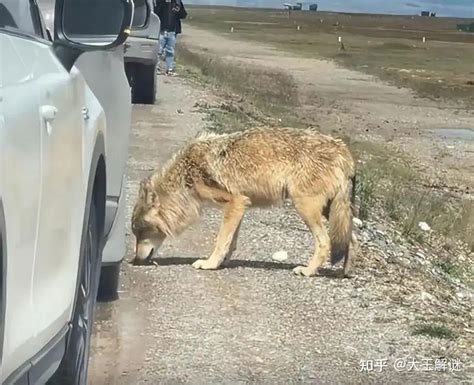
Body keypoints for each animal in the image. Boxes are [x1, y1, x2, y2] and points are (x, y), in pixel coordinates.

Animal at [131, 127, 358, 278]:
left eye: (141, 232)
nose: (134, 261)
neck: (185, 177)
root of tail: (344, 150)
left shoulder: (235, 202)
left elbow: (221, 240)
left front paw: (210, 264)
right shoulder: (241, 205)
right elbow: (231, 241)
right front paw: (224, 262)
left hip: (305, 208)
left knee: (325, 241)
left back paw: (309, 271)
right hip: (330, 211)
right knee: (351, 239)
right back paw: (345, 273)